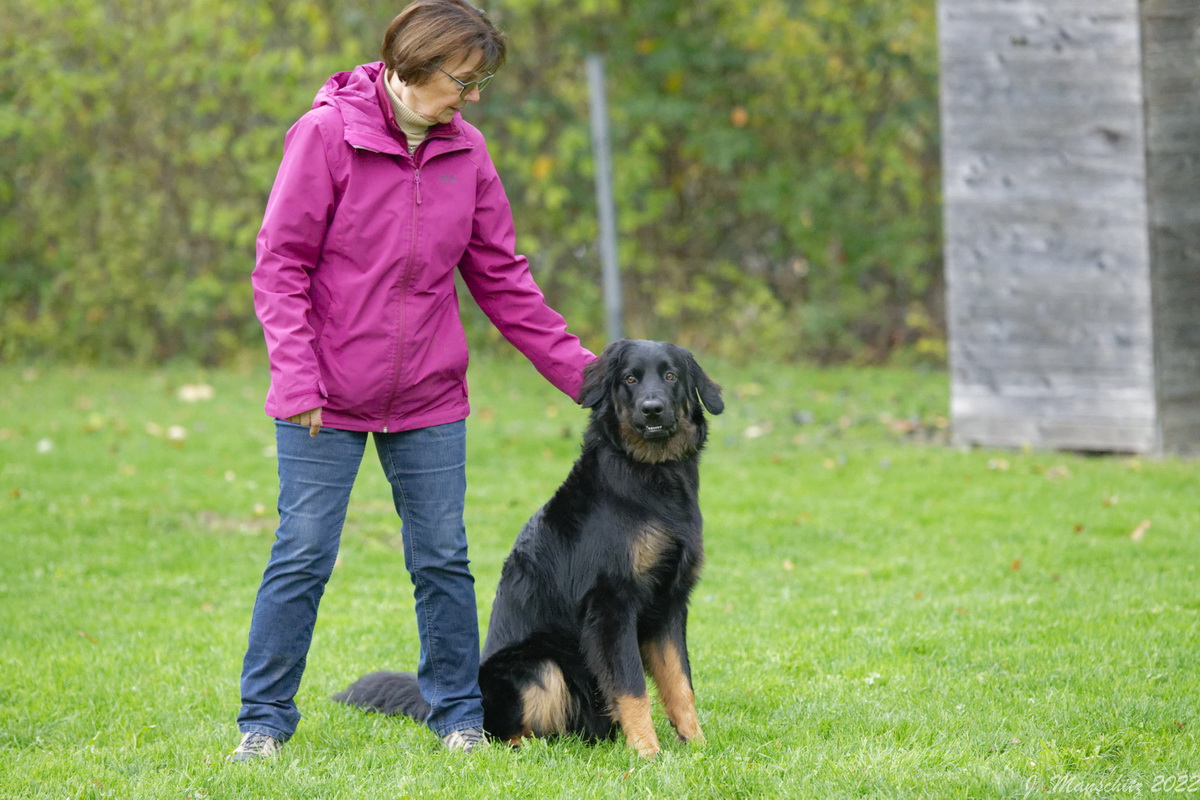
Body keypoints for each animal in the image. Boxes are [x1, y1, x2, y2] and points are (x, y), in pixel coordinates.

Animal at [333, 338, 720, 758]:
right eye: (630, 379)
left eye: (671, 377)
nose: (652, 408)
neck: (649, 475)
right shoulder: (611, 606)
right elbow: (632, 686)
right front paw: (648, 751)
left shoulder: (669, 604)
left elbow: (680, 683)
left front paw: (696, 744)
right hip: (538, 664)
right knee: (502, 731)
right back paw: (526, 747)